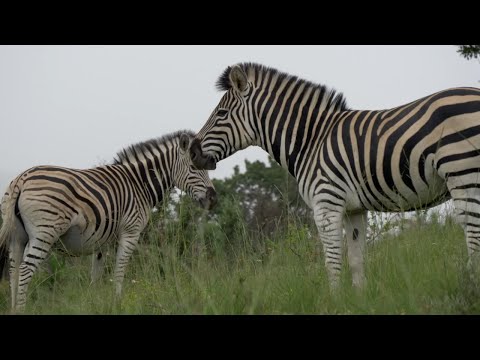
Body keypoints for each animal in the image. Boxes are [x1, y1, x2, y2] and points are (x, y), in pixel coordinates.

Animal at [0, 130, 217, 312]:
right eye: (193, 167)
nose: (214, 199)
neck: (139, 184)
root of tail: (21, 179)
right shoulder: (131, 232)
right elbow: (119, 272)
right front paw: (117, 304)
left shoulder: (101, 241)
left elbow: (96, 276)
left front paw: (95, 304)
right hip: (45, 232)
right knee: (25, 269)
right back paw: (22, 310)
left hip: (17, 237)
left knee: (13, 270)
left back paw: (13, 309)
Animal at [189, 62, 480, 290]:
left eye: (221, 114)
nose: (191, 151)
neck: (311, 140)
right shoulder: (354, 209)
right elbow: (357, 262)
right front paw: (359, 302)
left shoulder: (326, 204)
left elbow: (332, 263)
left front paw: (335, 301)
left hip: (462, 173)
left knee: (473, 237)